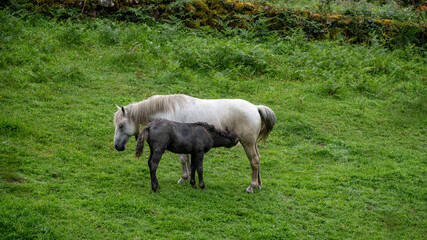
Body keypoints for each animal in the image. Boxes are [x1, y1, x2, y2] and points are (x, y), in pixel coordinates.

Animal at [113, 94, 278, 193]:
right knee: (258, 160)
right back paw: (258, 184)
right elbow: (187, 161)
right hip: (252, 143)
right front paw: (187, 179)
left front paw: (184, 178)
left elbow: (183, 160)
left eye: (121, 125)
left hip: (247, 143)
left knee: (254, 161)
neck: (169, 110)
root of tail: (256, 108)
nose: (117, 146)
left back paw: (251, 186)